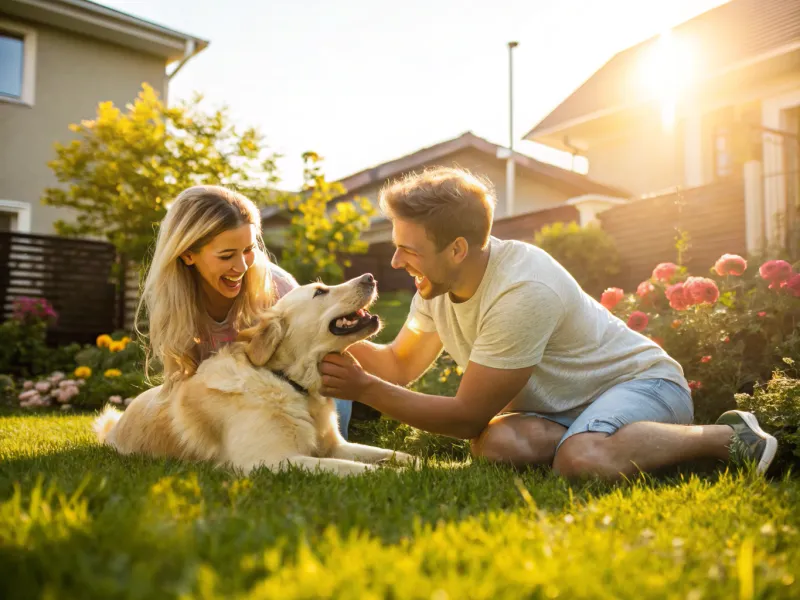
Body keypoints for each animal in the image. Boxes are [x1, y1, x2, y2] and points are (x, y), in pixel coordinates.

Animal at [95, 274, 412, 476]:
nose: (370, 277)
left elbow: (382, 452)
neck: (289, 382)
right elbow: (358, 469)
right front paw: (395, 475)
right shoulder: (271, 460)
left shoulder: (336, 446)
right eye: (320, 291)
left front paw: (417, 462)